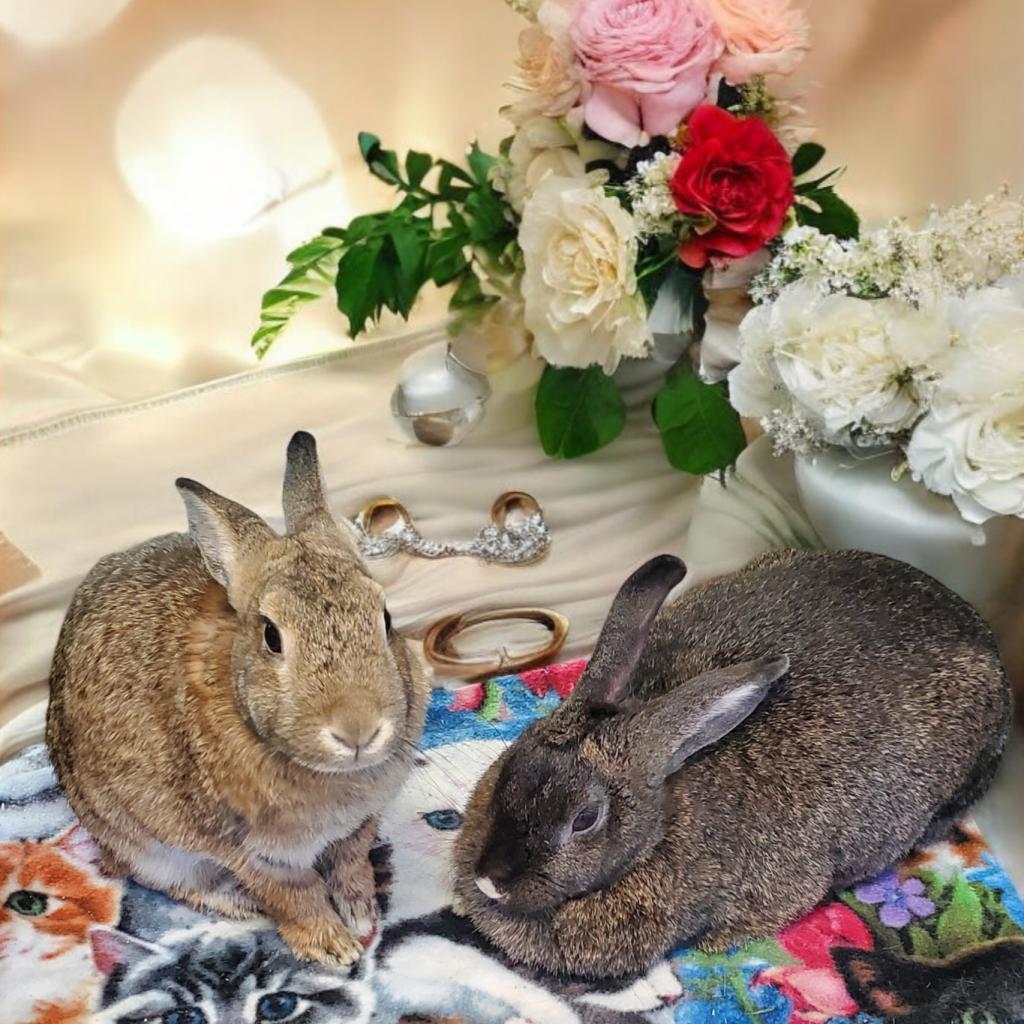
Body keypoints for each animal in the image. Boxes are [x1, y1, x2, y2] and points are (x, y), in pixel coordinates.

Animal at [46, 431, 430, 967]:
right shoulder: (250, 851)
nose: (358, 730)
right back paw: (240, 904)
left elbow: (350, 864)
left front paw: (361, 914)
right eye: (271, 636)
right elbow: (294, 896)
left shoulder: (357, 827)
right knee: (172, 882)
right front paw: (333, 948)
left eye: (387, 619)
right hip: (145, 847)